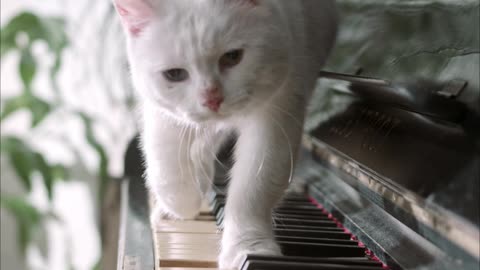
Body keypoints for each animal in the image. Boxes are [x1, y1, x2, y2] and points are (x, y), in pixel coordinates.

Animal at [112, 0, 338, 268]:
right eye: (174, 75)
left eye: (232, 57)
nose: (212, 99)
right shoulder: (164, 113)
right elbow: (167, 166)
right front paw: (182, 205)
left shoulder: (278, 114)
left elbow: (253, 190)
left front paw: (248, 250)